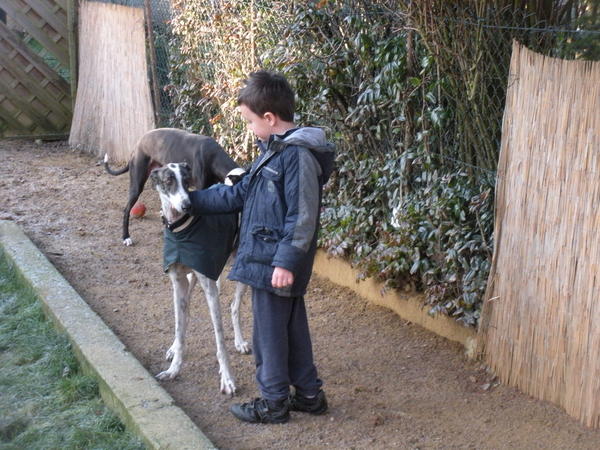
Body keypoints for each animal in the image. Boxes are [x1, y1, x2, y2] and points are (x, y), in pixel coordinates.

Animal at [103, 126, 244, 246]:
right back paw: (126, 237)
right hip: (137, 185)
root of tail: (138, 143)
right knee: (127, 209)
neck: (213, 156)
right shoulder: (201, 188)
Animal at [149, 162, 250, 394]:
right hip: (193, 277)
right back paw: (173, 347)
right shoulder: (179, 283)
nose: (187, 205)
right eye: (168, 181)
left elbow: (220, 340)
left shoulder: (210, 288)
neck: (180, 230)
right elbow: (180, 327)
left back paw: (240, 342)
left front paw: (227, 378)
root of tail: (239, 174)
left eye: (187, 181)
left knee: (234, 306)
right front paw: (173, 368)